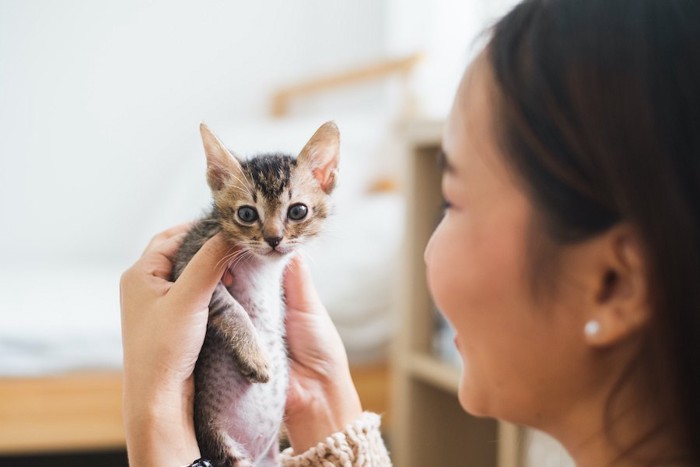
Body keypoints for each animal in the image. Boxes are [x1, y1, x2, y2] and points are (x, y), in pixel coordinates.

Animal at [172, 121, 342, 467]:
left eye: (298, 211)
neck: (262, 266)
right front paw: (255, 357)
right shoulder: (189, 264)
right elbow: (230, 308)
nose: (274, 238)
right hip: (223, 448)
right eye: (247, 214)